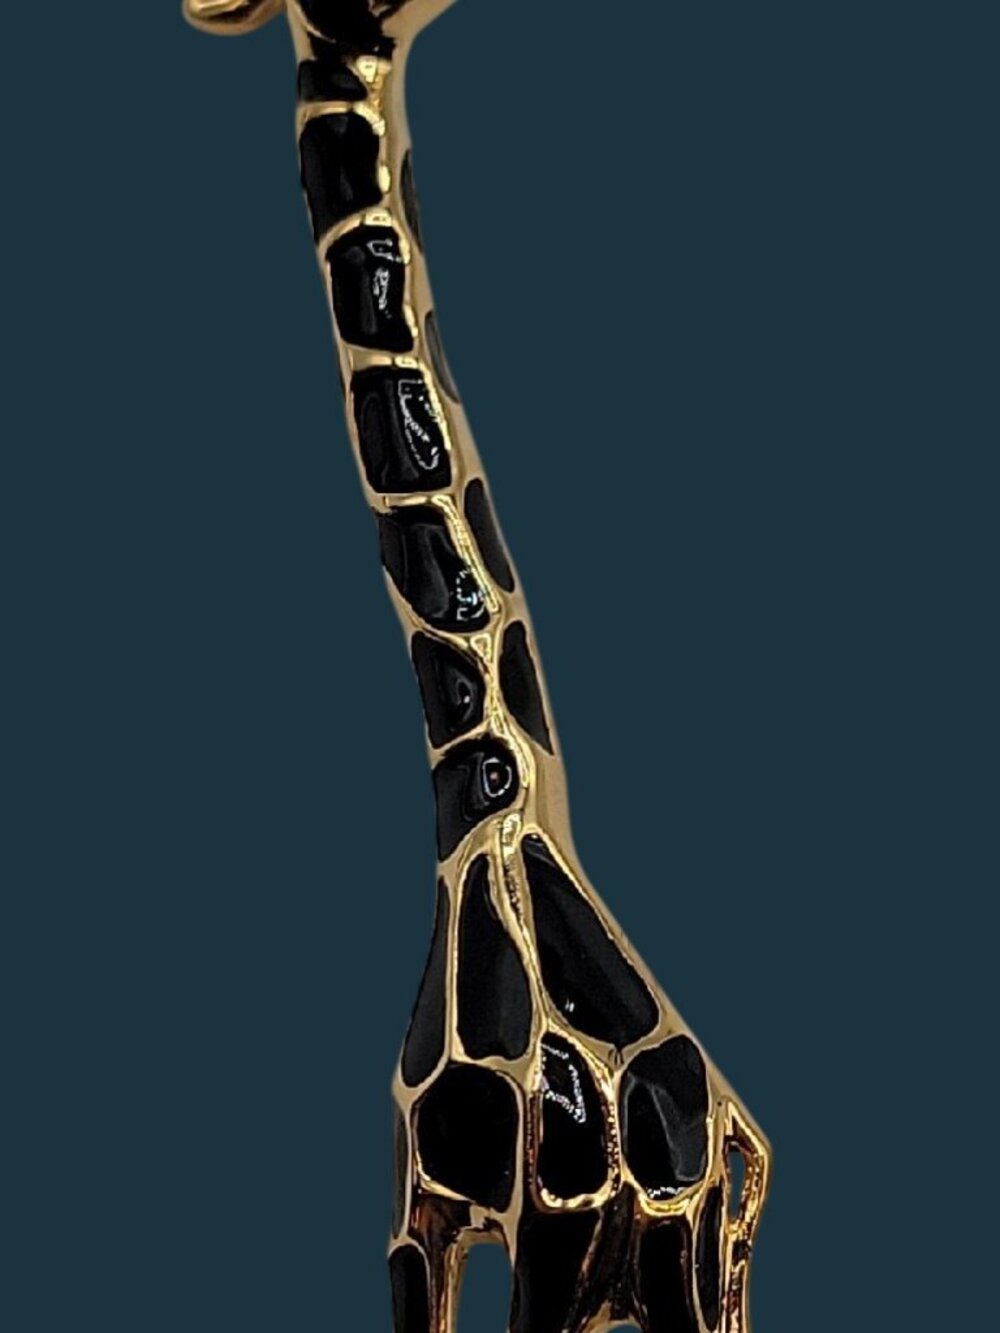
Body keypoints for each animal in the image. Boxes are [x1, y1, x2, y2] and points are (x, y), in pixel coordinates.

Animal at [183, 4, 772, 1332]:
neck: (492, 818)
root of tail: (739, 1142)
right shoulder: (425, 1218)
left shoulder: (549, 1222)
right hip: (669, 1262)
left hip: (689, 1263)